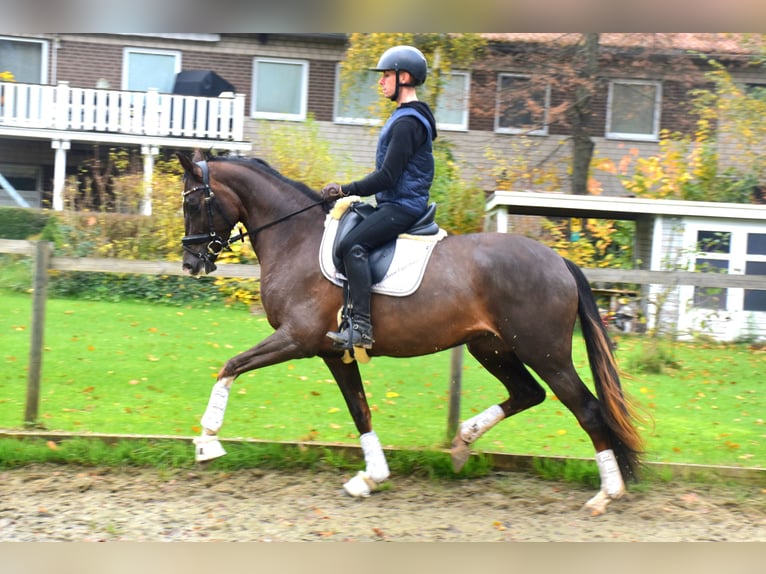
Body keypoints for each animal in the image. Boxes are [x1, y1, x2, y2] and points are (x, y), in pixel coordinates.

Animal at [177, 150, 644, 516]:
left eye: (195, 202)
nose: (191, 263)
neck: (296, 239)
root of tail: (559, 261)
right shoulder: (332, 353)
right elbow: (360, 410)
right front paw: (371, 477)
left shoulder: (297, 338)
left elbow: (230, 366)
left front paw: (206, 443)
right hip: (491, 347)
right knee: (528, 393)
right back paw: (464, 440)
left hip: (544, 351)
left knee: (587, 409)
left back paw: (607, 493)